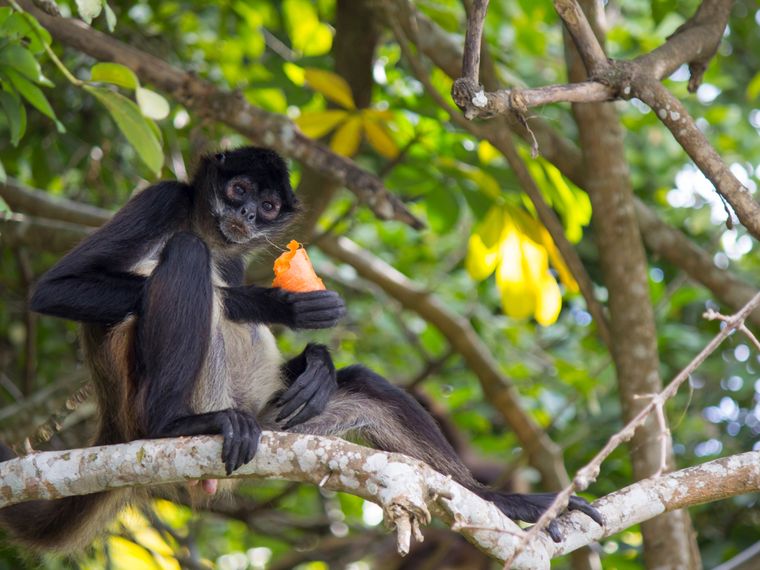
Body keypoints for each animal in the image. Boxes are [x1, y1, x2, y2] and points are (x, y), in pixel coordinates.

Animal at [0, 147, 601, 553]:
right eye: (238, 189)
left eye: (268, 205)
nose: (247, 217)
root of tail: (115, 420)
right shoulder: (161, 199)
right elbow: (55, 289)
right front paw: (274, 303)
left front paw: (318, 360)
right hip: (156, 395)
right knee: (188, 254)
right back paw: (173, 426)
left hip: (273, 421)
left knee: (365, 387)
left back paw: (500, 502)